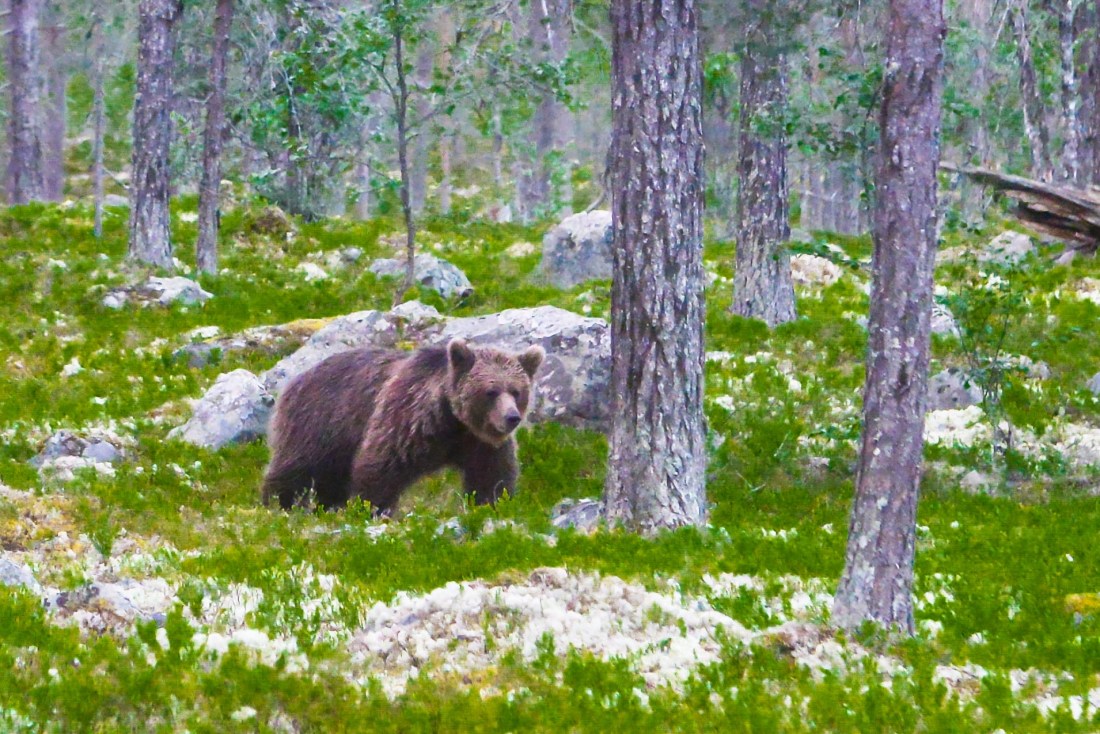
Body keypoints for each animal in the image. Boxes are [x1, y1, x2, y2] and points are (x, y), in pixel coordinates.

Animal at [261, 338, 545, 514]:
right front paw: (373, 508)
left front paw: (491, 503)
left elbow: (492, 476)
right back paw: (276, 503)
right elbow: (381, 465)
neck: (454, 421)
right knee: (296, 467)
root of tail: (297, 378)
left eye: (516, 391)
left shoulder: (480, 442)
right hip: (320, 423)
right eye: (491, 391)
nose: (511, 417)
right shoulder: (408, 420)